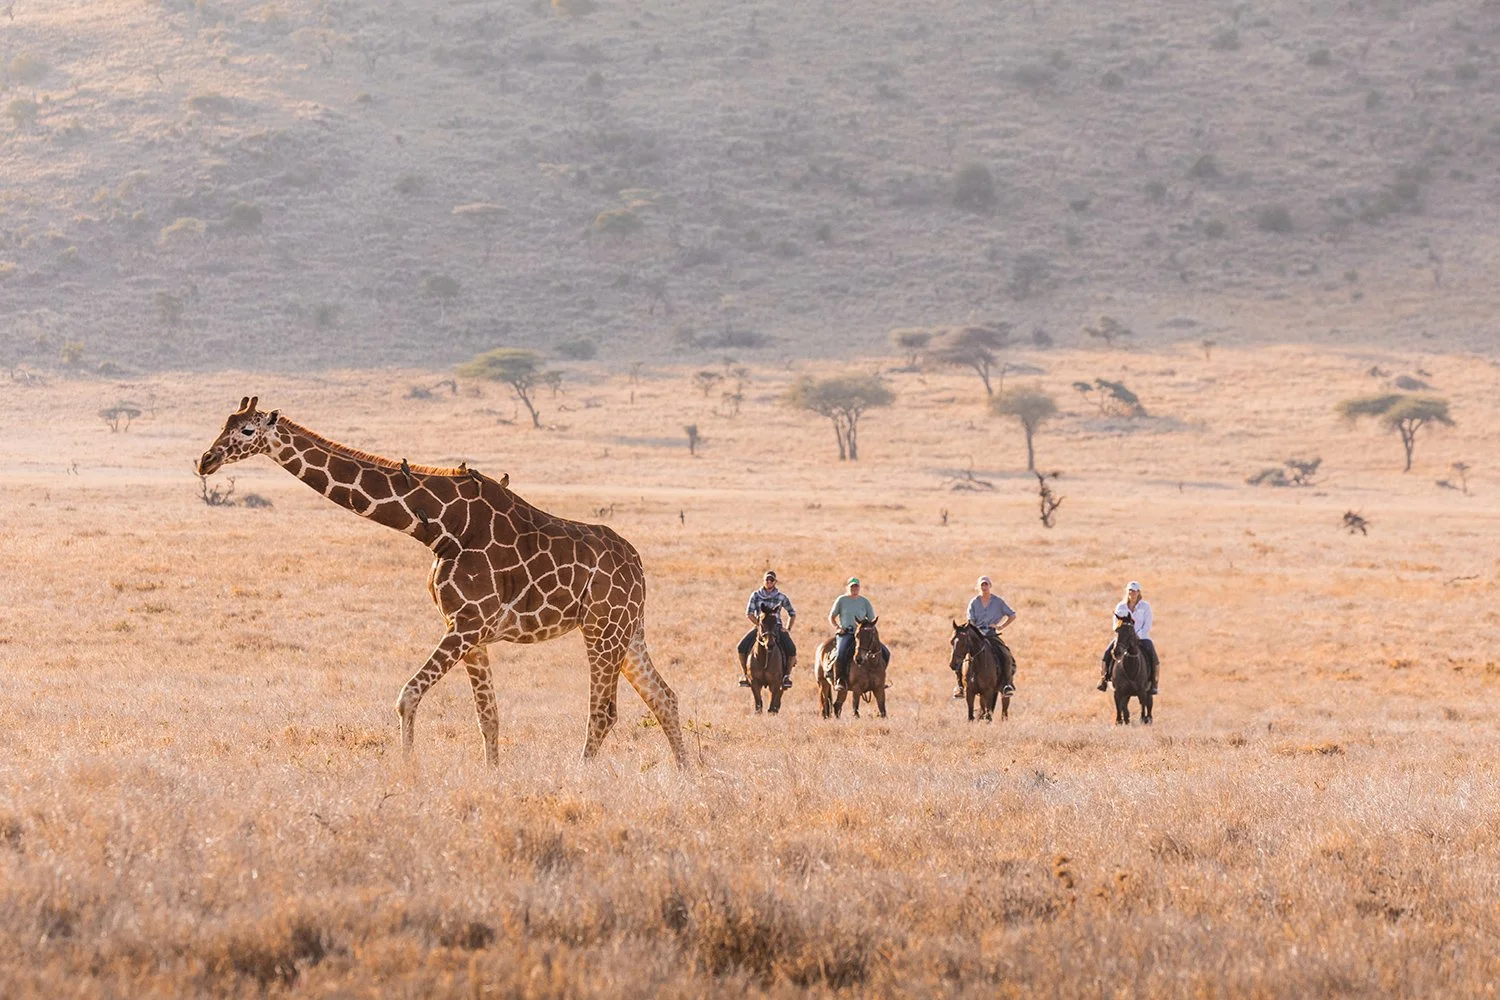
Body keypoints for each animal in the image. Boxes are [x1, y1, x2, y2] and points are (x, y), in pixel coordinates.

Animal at [196, 396, 688, 768]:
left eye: (246, 431)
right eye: (223, 425)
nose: (205, 460)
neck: (440, 528)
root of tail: (638, 565)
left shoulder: (466, 624)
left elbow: (407, 695)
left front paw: (408, 771)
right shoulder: (471, 630)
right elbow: (488, 716)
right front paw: (492, 777)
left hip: (603, 628)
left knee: (604, 712)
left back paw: (580, 775)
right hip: (626, 630)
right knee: (664, 696)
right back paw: (689, 775)